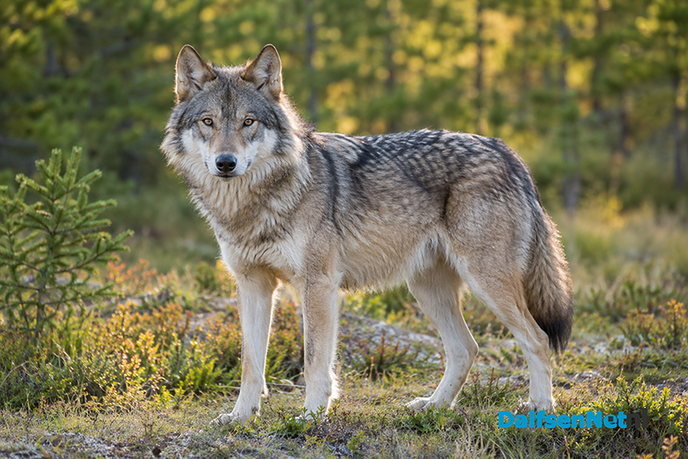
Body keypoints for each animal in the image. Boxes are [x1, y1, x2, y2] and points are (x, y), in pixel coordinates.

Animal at [161, 44, 573, 424]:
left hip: (485, 283)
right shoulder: (253, 285)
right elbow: (251, 364)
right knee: (465, 349)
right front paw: (241, 417)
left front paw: (311, 416)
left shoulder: (319, 284)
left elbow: (315, 361)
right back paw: (434, 406)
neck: (252, 205)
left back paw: (540, 408)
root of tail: (507, 152)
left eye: (248, 122)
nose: (225, 163)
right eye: (208, 122)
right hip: (427, 289)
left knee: (536, 339)